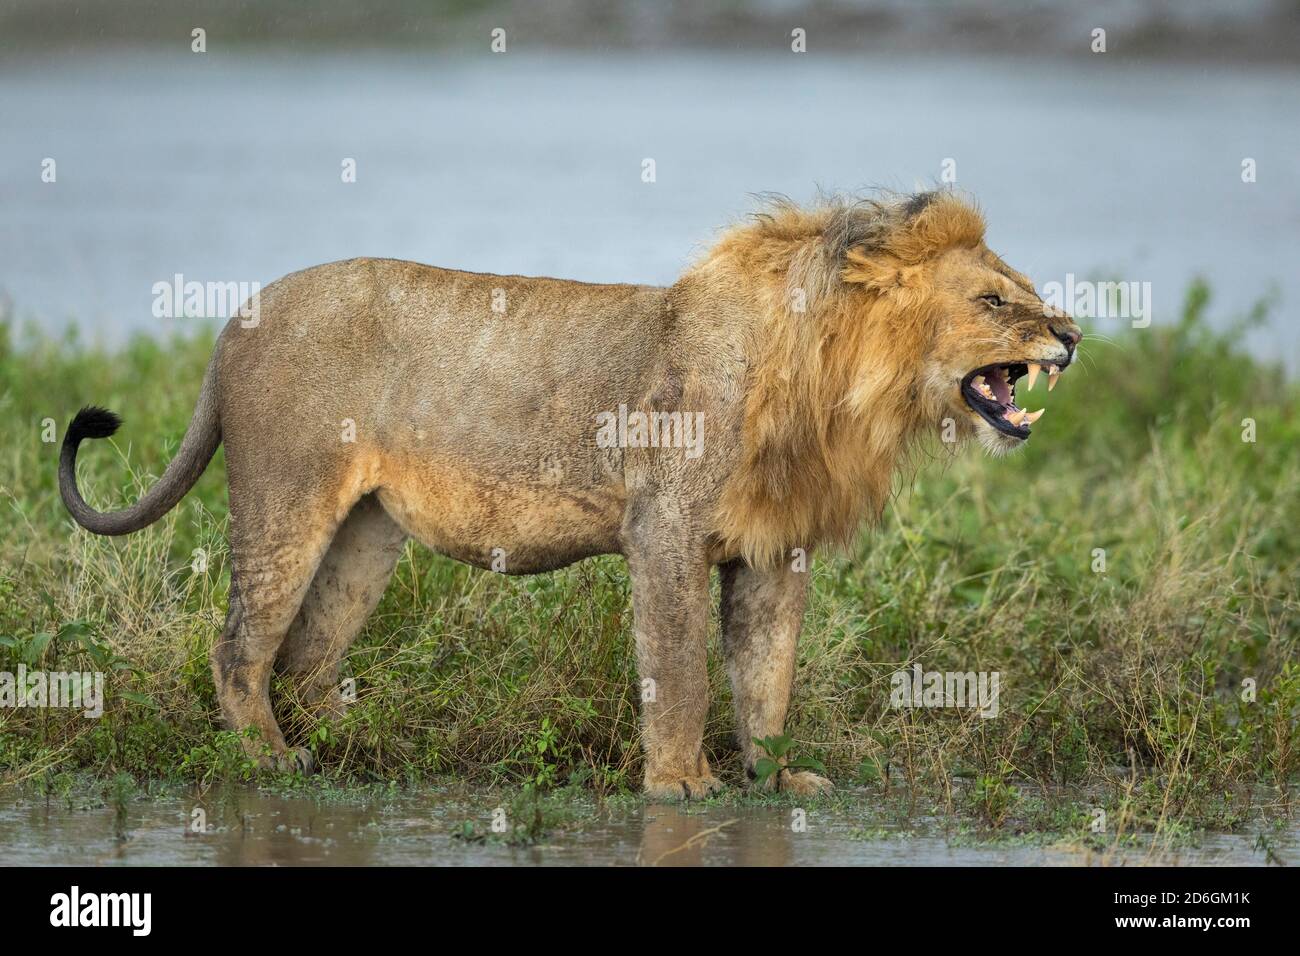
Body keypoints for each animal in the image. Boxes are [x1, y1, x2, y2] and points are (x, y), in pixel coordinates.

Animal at [58, 188, 1076, 801]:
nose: (1069, 334)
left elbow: (768, 678)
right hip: (286, 499)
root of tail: (233, 319)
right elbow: (684, 671)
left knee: (306, 655)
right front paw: (681, 783)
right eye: (993, 301)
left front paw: (780, 780)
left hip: (367, 533)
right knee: (238, 647)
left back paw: (359, 744)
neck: (833, 384)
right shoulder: (664, 531)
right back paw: (268, 762)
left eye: (1022, 288)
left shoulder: (770, 552)